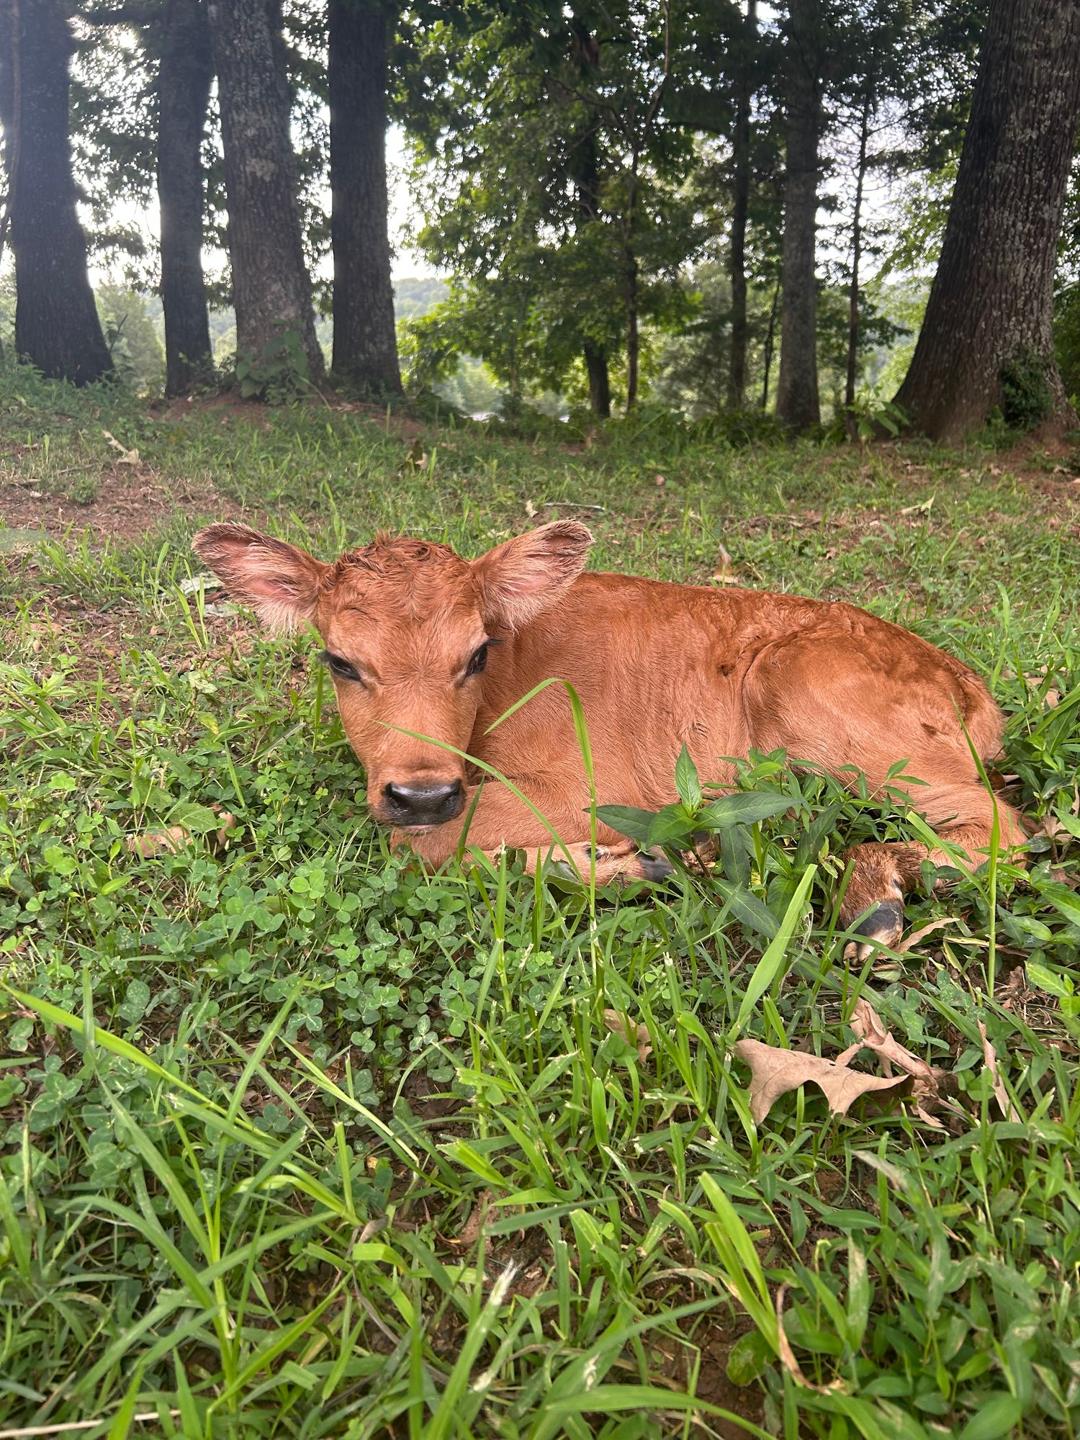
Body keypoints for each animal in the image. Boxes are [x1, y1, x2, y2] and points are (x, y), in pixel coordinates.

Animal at [192, 519, 1025, 956]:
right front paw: (632, 865)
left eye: (477, 653)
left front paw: (620, 864)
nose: (421, 792)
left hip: (828, 708)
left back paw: (872, 897)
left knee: (999, 827)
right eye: (339, 661)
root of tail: (967, 682)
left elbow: (420, 846)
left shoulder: (584, 789)